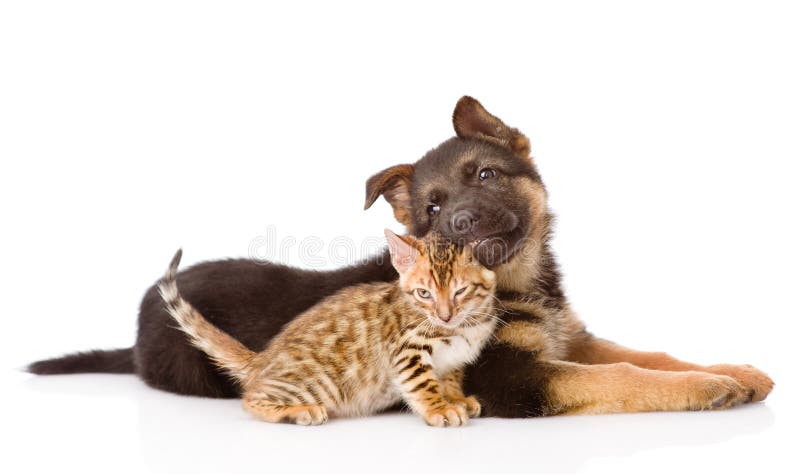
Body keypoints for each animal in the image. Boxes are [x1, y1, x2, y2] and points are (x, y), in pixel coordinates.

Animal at [156, 231, 496, 428]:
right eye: (424, 293)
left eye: (460, 291)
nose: (445, 316)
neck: (465, 327)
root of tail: (263, 359)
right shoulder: (406, 349)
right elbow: (423, 384)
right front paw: (439, 409)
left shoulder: (453, 360)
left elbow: (449, 379)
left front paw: (456, 398)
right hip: (319, 383)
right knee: (251, 398)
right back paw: (298, 411)